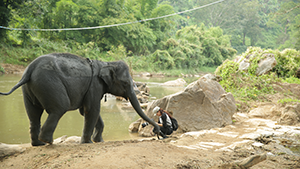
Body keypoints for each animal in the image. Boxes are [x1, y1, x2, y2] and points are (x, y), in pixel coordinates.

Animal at [0, 53, 161, 147]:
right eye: (126, 83)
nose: (158, 131)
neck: (106, 63)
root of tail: (29, 69)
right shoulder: (94, 85)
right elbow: (92, 110)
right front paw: (88, 142)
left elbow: (86, 111)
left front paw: (99, 141)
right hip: (48, 83)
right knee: (59, 108)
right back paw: (48, 141)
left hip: (30, 88)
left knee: (34, 114)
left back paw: (38, 144)